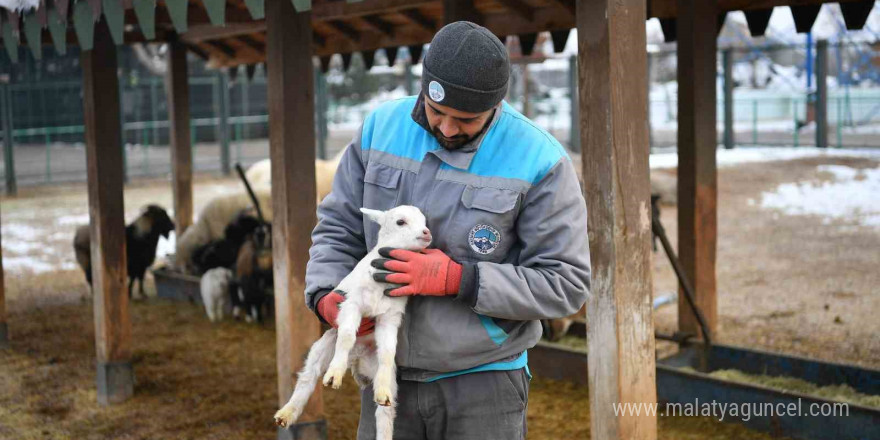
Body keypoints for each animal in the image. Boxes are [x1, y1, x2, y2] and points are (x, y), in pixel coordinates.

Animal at [272, 206, 430, 440]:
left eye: (424, 220)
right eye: (400, 222)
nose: (427, 233)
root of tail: (356, 359)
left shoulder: (389, 317)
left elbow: (387, 352)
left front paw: (381, 387)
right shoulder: (352, 304)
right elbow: (346, 336)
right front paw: (334, 374)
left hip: (381, 371)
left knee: (385, 412)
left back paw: (383, 398)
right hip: (324, 344)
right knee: (308, 378)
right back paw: (287, 413)